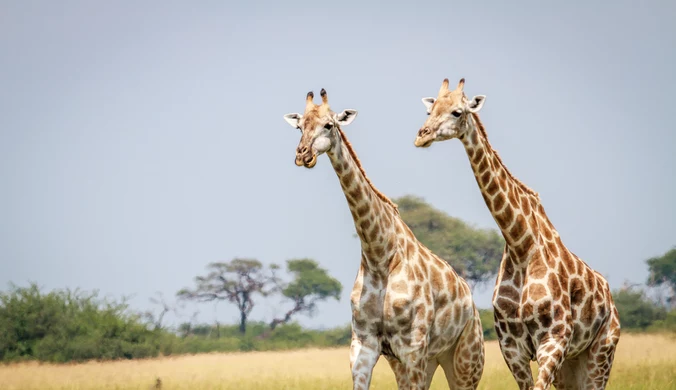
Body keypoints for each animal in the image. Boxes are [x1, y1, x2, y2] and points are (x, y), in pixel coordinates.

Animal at [282, 89, 484, 390]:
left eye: (329, 125)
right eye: (299, 127)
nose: (302, 154)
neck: (379, 255)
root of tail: (473, 306)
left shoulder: (413, 346)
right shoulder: (363, 344)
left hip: (465, 360)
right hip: (425, 361)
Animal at [410, 77, 620, 388]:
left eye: (457, 112)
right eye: (430, 110)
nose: (421, 137)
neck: (521, 245)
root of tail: (611, 300)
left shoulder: (554, 338)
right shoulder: (511, 346)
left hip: (601, 352)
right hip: (572, 365)